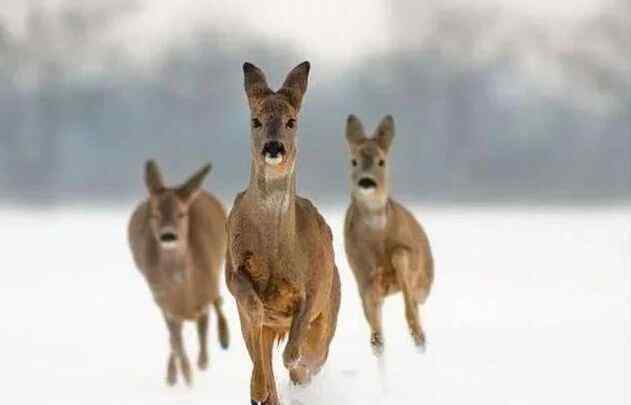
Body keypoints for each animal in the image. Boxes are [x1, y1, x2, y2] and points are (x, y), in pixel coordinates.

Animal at [128, 160, 230, 386]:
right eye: (155, 214)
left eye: (182, 213)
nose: (168, 235)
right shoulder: (164, 302)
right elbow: (175, 338)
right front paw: (185, 375)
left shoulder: (206, 286)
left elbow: (206, 320)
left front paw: (203, 361)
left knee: (216, 305)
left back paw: (222, 340)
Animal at [226, 60, 340, 404]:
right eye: (256, 120)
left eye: (292, 121)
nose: (273, 147)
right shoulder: (232, 269)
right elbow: (252, 307)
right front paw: (259, 389)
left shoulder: (315, 283)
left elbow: (294, 351)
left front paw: (295, 364)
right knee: (261, 352)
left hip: (331, 306)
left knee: (312, 356)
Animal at [346, 114, 434, 356]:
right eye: (353, 161)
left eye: (381, 161)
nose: (366, 181)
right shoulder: (362, 277)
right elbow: (376, 329)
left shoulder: (409, 253)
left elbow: (400, 256)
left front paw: (416, 332)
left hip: (425, 283)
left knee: (416, 302)